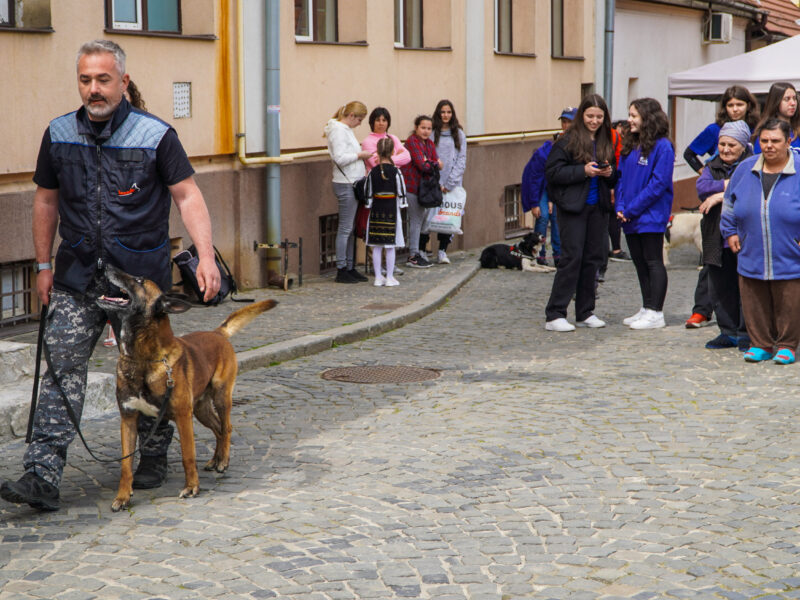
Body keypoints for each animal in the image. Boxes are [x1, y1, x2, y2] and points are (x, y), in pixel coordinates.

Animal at [96, 266, 278, 510]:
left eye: (139, 280)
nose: (104, 265)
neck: (142, 359)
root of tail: (217, 333)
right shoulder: (128, 418)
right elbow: (126, 465)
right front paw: (123, 496)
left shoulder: (183, 417)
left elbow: (188, 455)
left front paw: (192, 487)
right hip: (201, 410)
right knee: (218, 430)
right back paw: (216, 459)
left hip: (221, 398)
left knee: (227, 428)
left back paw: (223, 461)